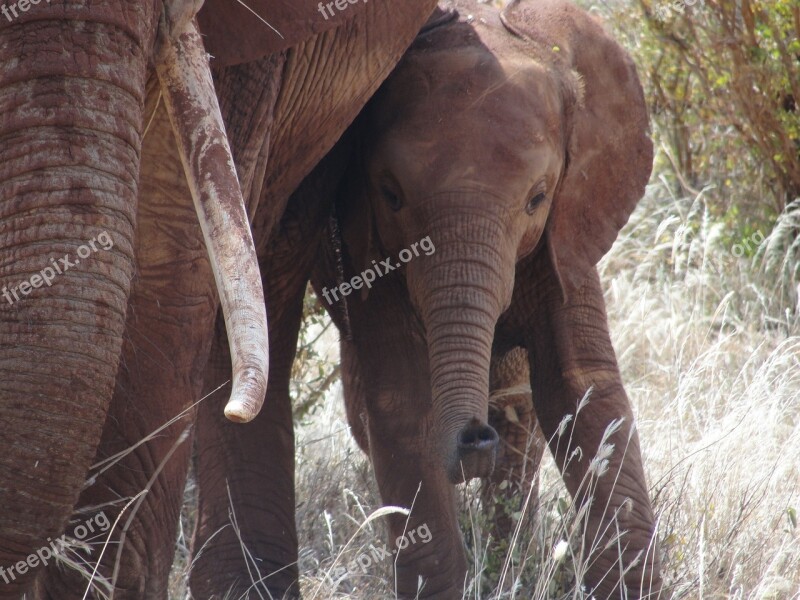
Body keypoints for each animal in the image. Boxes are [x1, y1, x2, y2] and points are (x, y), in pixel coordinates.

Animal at [304, 1, 660, 596]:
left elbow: (584, 392)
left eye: (538, 198)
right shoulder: (363, 247)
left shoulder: (569, 234)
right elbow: (401, 404)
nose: (475, 437)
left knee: (523, 427)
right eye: (390, 194)